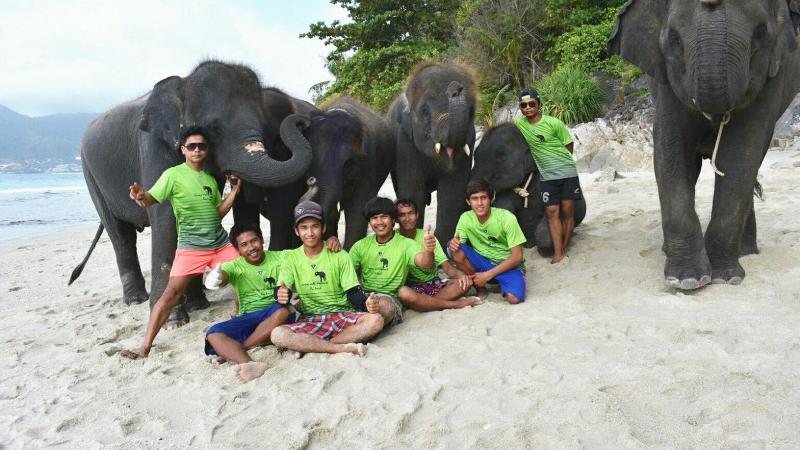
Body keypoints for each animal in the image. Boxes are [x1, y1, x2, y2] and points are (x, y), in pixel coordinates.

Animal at [70, 61, 312, 325]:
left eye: (264, 126)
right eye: (212, 129)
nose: (302, 120)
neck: (183, 83)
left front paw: (195, 306)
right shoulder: (152, 146)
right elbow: (165, 217)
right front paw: (172, 321)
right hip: (91, 176)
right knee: (120, 234)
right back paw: (136, 300)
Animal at [387, 62, 478, 246]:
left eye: (471, 111)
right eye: (425, 110)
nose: (456, 88)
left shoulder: (469, 143)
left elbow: (452, 189)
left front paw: (443, 244)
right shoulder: (405, 142)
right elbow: (413, 191)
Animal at [610, 0, 800, 289]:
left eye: (760, 35)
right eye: (674, 40)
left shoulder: (773, 76)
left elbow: (742, 152)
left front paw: (725, 277)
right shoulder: (665, 80)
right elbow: (672, 149)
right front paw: (686, 280)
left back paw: (746, 252)